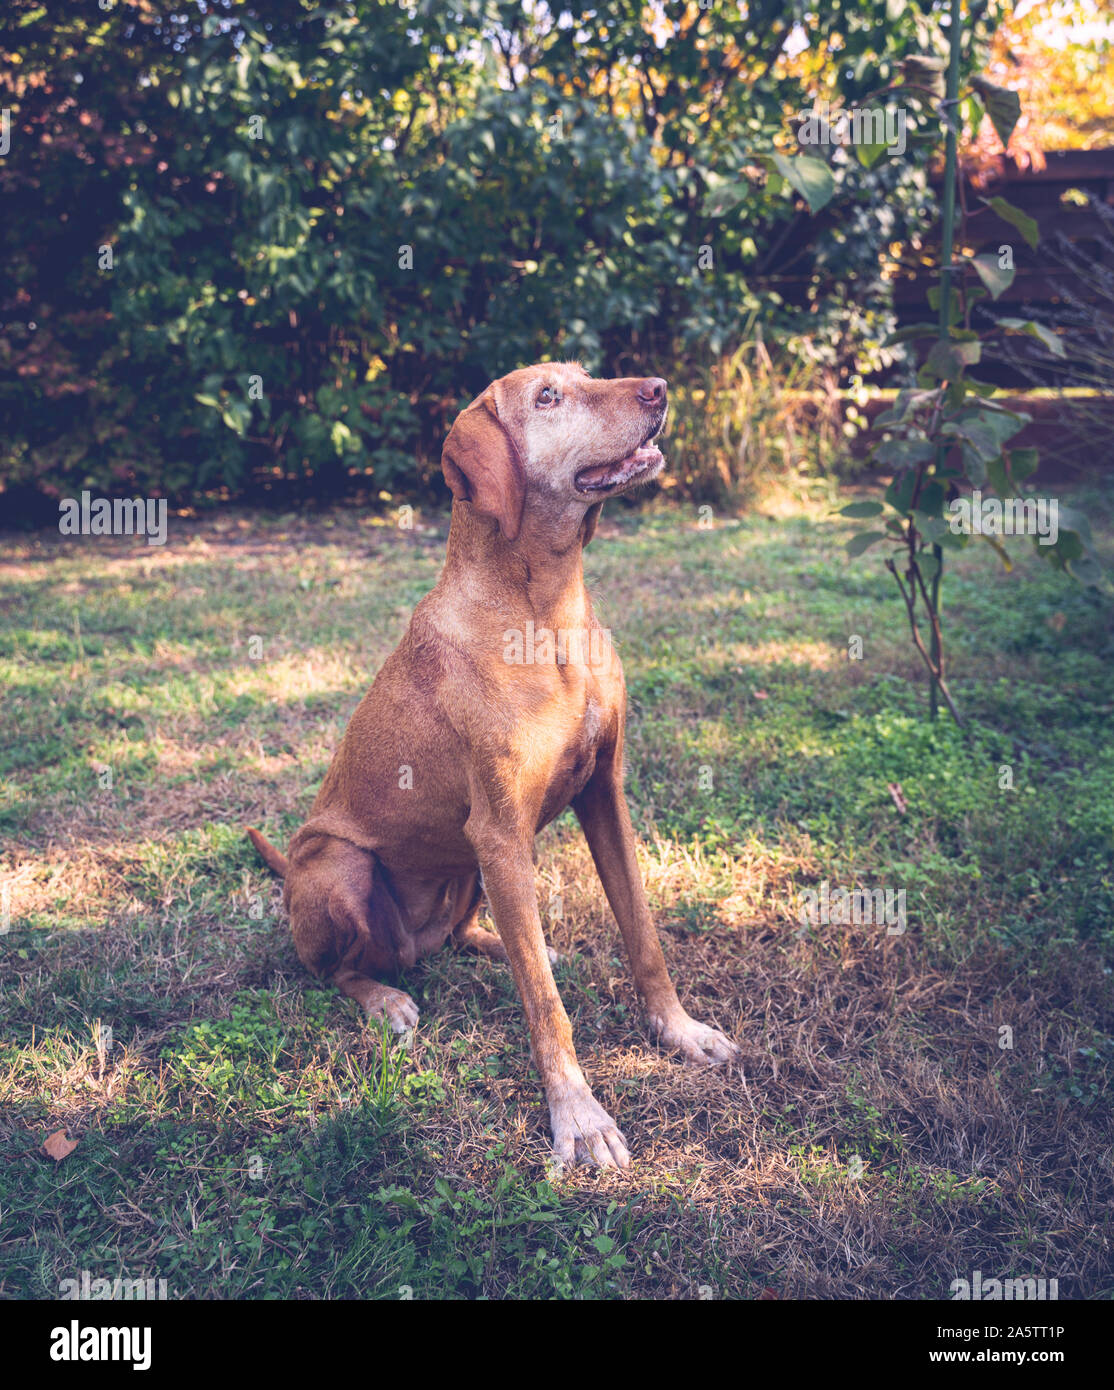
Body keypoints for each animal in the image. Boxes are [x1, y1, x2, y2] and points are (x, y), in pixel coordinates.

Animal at [250, 361, 739, 1162]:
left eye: (585, 373)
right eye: (548, 397)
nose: (660, 388)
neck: (549, 610)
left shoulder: (605, 795)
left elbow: (642, 935)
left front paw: (679, 1030)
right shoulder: (501, 833)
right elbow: (544, 1006)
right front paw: (579, 1116)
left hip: (471, 874)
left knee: (468, 939)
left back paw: (489, 944)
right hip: (342, 868)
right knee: (335, 968)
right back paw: (386, 999)